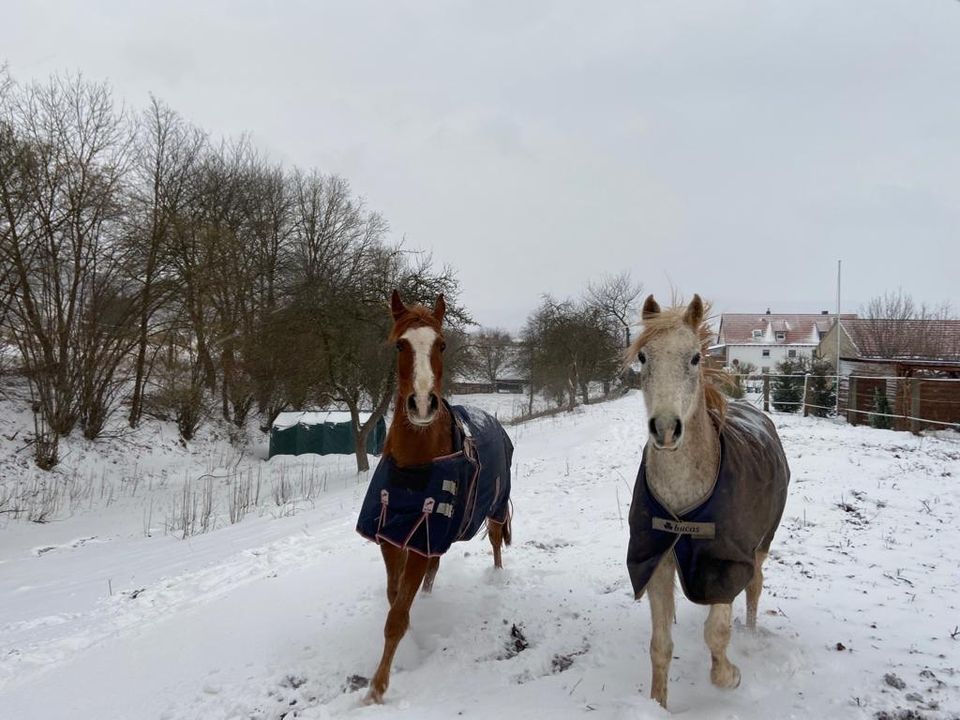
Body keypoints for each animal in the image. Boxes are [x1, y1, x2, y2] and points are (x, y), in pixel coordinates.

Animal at [356, 288, 512, 704]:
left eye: (441, 343)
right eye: (400, 345)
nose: (423, 404)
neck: (414, 469)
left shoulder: (419, 539)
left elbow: (396, 617)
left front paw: (377, 689)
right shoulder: (394, 535)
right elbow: (395, 599)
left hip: (495, 508)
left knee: (496, 542)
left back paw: (497, 578)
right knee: (435, 568)